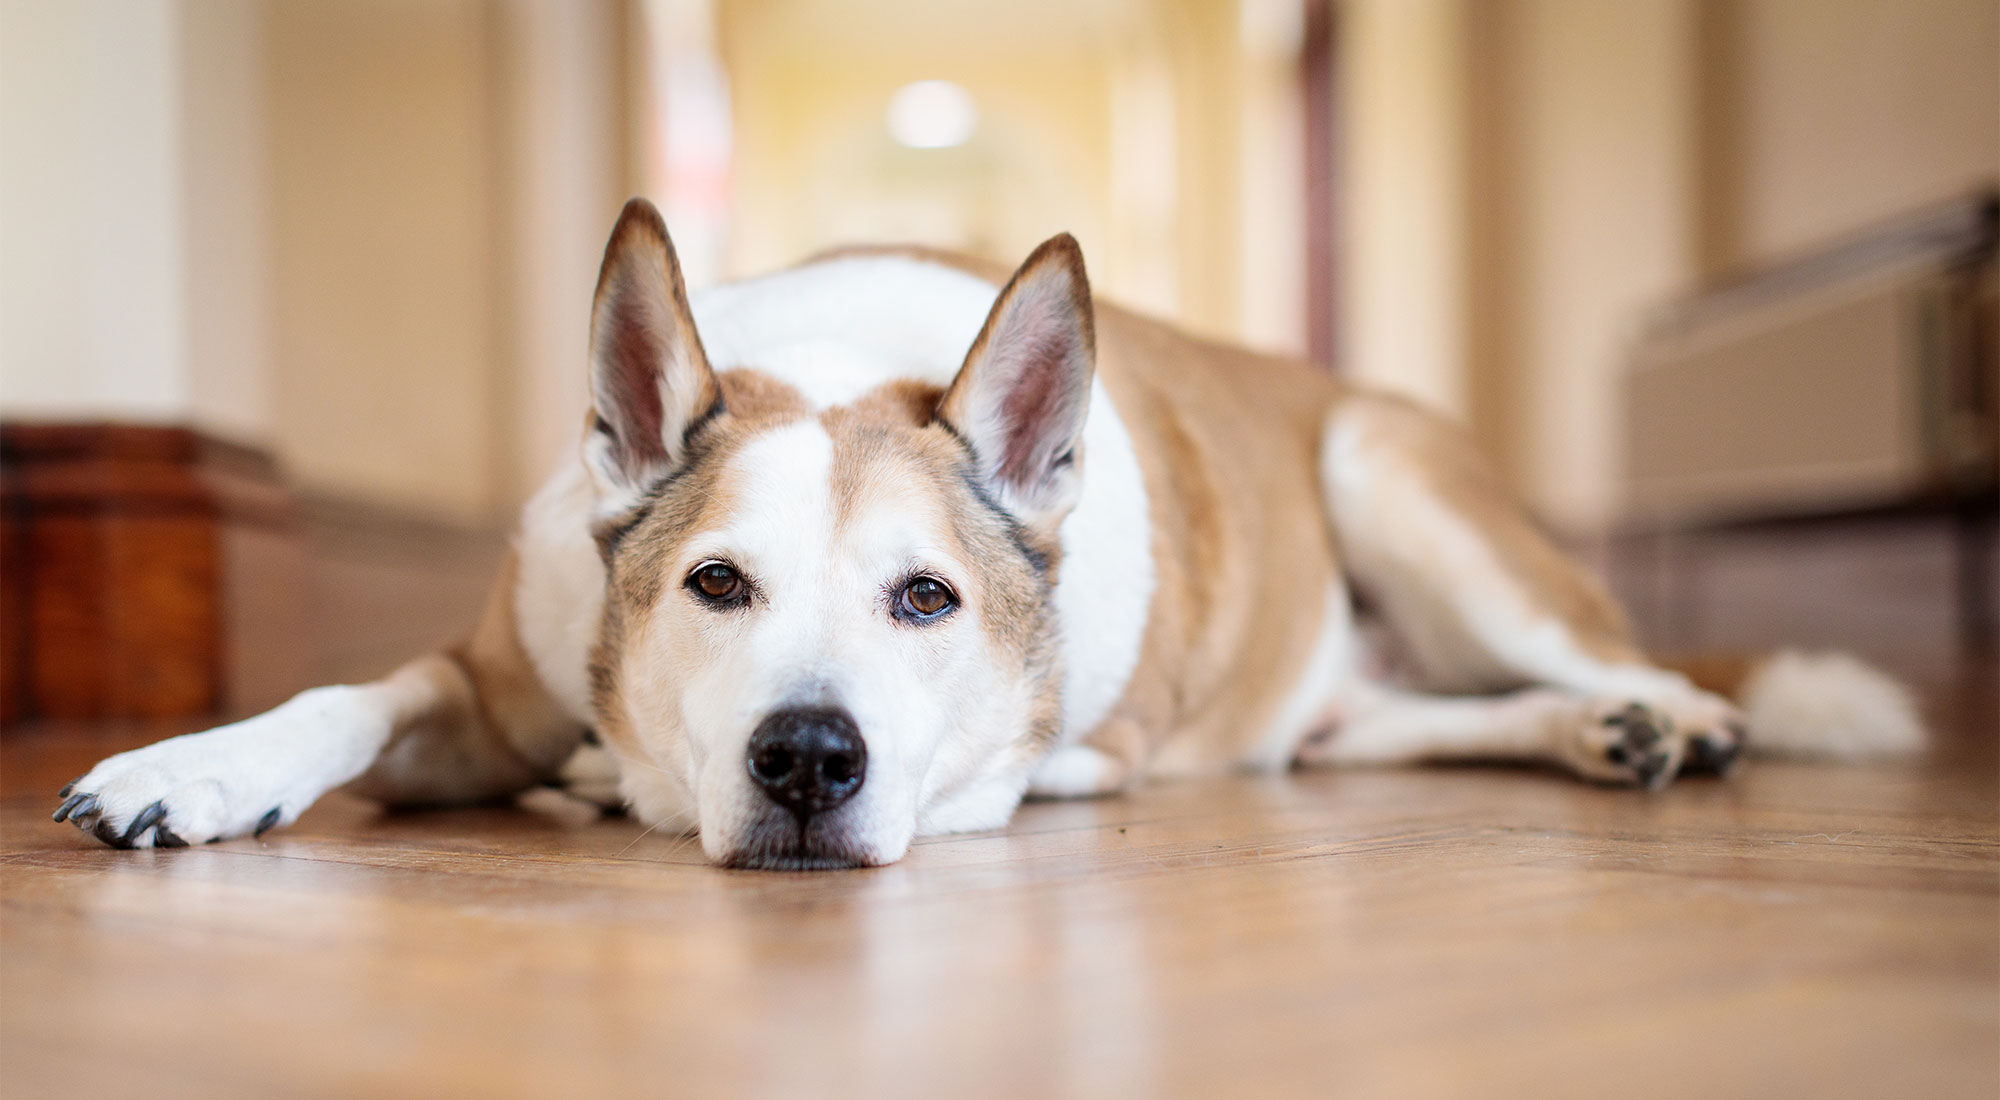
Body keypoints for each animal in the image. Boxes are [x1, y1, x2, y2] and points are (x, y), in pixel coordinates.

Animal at [50, 196, 1920, 872]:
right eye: (717, 584)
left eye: (926, 601)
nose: (811, 760)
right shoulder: (491, 670)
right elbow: (349, 698)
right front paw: (196, 770)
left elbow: (1020, 768)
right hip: (1358, 684)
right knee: (1368, 732)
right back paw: (1592, 734)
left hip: (1397, 486)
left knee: (1626, 658)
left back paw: (1662, 719)